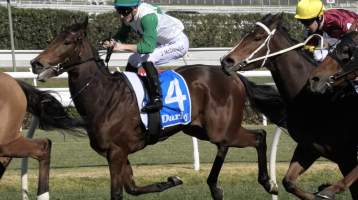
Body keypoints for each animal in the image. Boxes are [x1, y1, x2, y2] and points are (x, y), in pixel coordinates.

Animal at [30, 18, 288, 199]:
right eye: (54, 38)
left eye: (67, 42)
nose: (35, 63)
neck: (104, 97)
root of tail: (232, 75)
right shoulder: (120, 153)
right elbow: (133, 188)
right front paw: (171, 181)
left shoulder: (115, 153)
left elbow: (118, 193)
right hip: (200, 129)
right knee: (225, 146)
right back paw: (215, 187)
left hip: (221, 128)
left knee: (258, 136)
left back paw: (267, 182)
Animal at [221, 13, 358, 199]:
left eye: (258, 37)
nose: (226, 61)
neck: (319, 103)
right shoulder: (310, 148)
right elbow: (289, 182)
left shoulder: (346, 155)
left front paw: (326, 190)